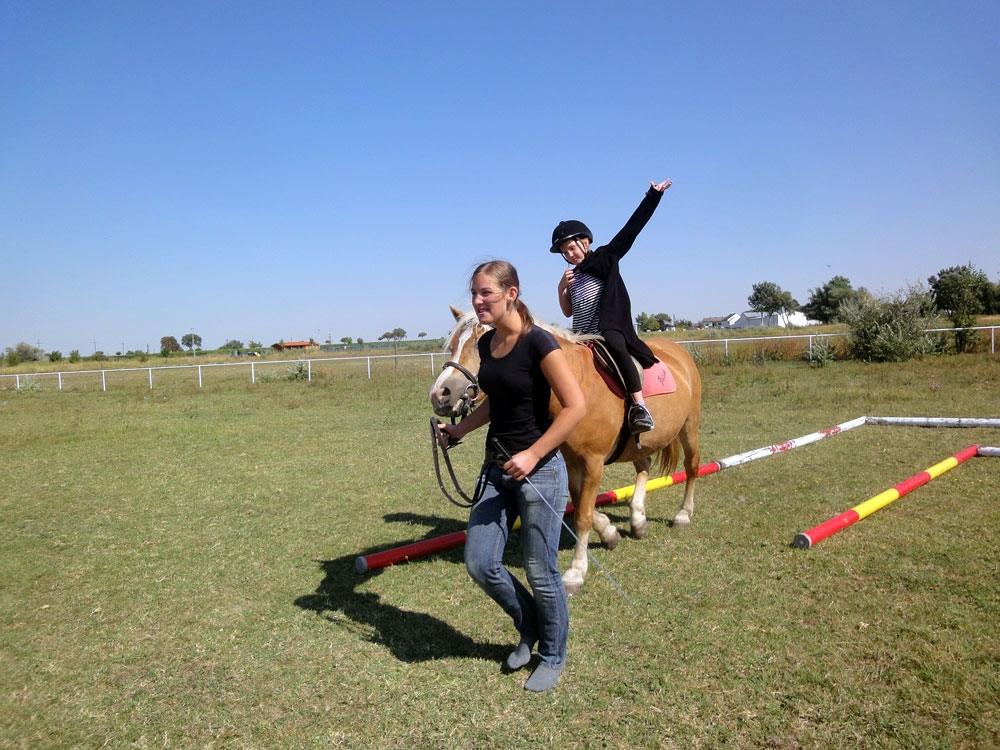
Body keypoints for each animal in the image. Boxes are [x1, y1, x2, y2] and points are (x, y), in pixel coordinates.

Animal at [430, 308, 704, 596]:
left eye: (483, 344)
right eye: (454, 344)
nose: (440, 394)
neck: (577, 383)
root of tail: (678, 349)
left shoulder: (594, 462)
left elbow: (583, 515)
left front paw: (575, 572)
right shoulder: (572, 462)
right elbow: (581, 504)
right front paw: (609, 533)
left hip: (689, 425)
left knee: (692, 465)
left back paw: (683, 514)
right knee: (644, 466)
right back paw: (638, 519)